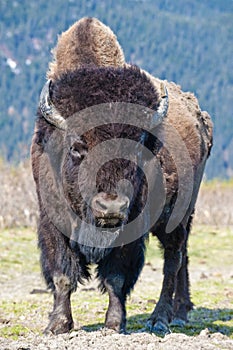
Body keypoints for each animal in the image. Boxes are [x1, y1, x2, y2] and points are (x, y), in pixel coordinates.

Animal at [31, 17, 213, 334]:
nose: (111, 207)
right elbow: (62, 274)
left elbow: (116, 277)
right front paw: (58, 325)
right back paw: (180, 312)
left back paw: (160, 319)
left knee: (173, 261)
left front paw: (115, 324)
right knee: (183, 259)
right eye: (77, 147)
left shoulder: (132, 227)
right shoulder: (52, 222)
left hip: (178, 216)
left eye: (138, 144)